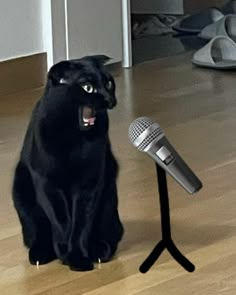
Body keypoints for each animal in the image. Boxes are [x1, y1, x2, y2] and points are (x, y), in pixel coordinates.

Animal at [11, 54, 123, 272]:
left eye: (108, 83)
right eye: (87, 87)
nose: (109, 99)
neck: (73, 138)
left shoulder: (89, 183)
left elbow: (81, 223)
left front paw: (78, 257)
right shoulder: (46, 183)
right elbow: (62, 220)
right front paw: (65, 251)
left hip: (109, 198)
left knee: (112, 231)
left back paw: (99, 249)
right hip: (21, 192)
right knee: (37, 231)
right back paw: (41, 253)